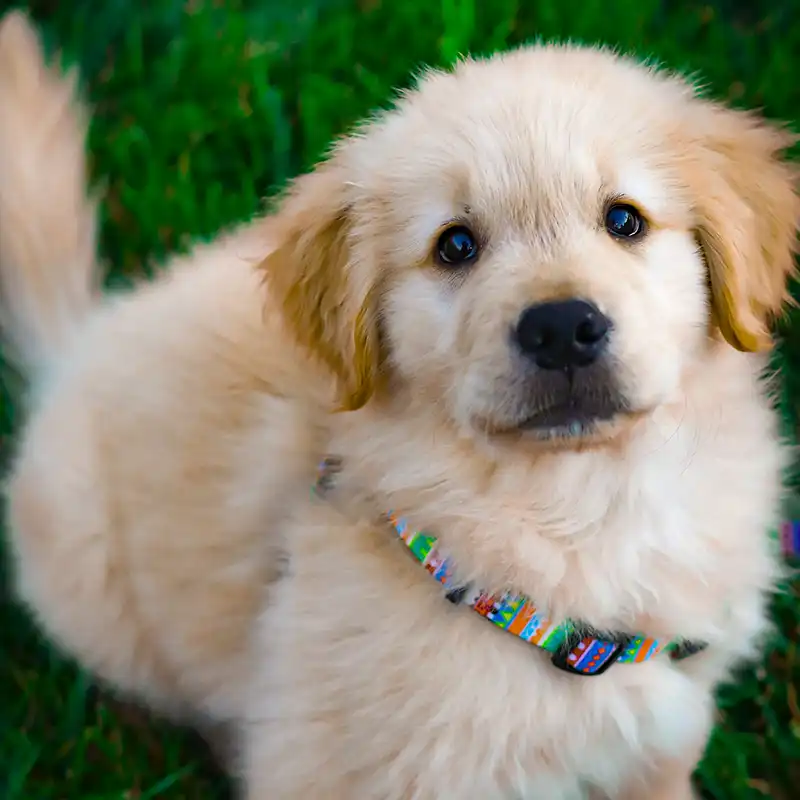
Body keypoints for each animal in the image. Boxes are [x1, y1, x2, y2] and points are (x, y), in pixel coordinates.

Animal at [1, 7, 800, 800]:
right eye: (455, 246)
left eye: (625, 220)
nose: (562, 327)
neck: (580, 513)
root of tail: (79, 343)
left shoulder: (660, 737)